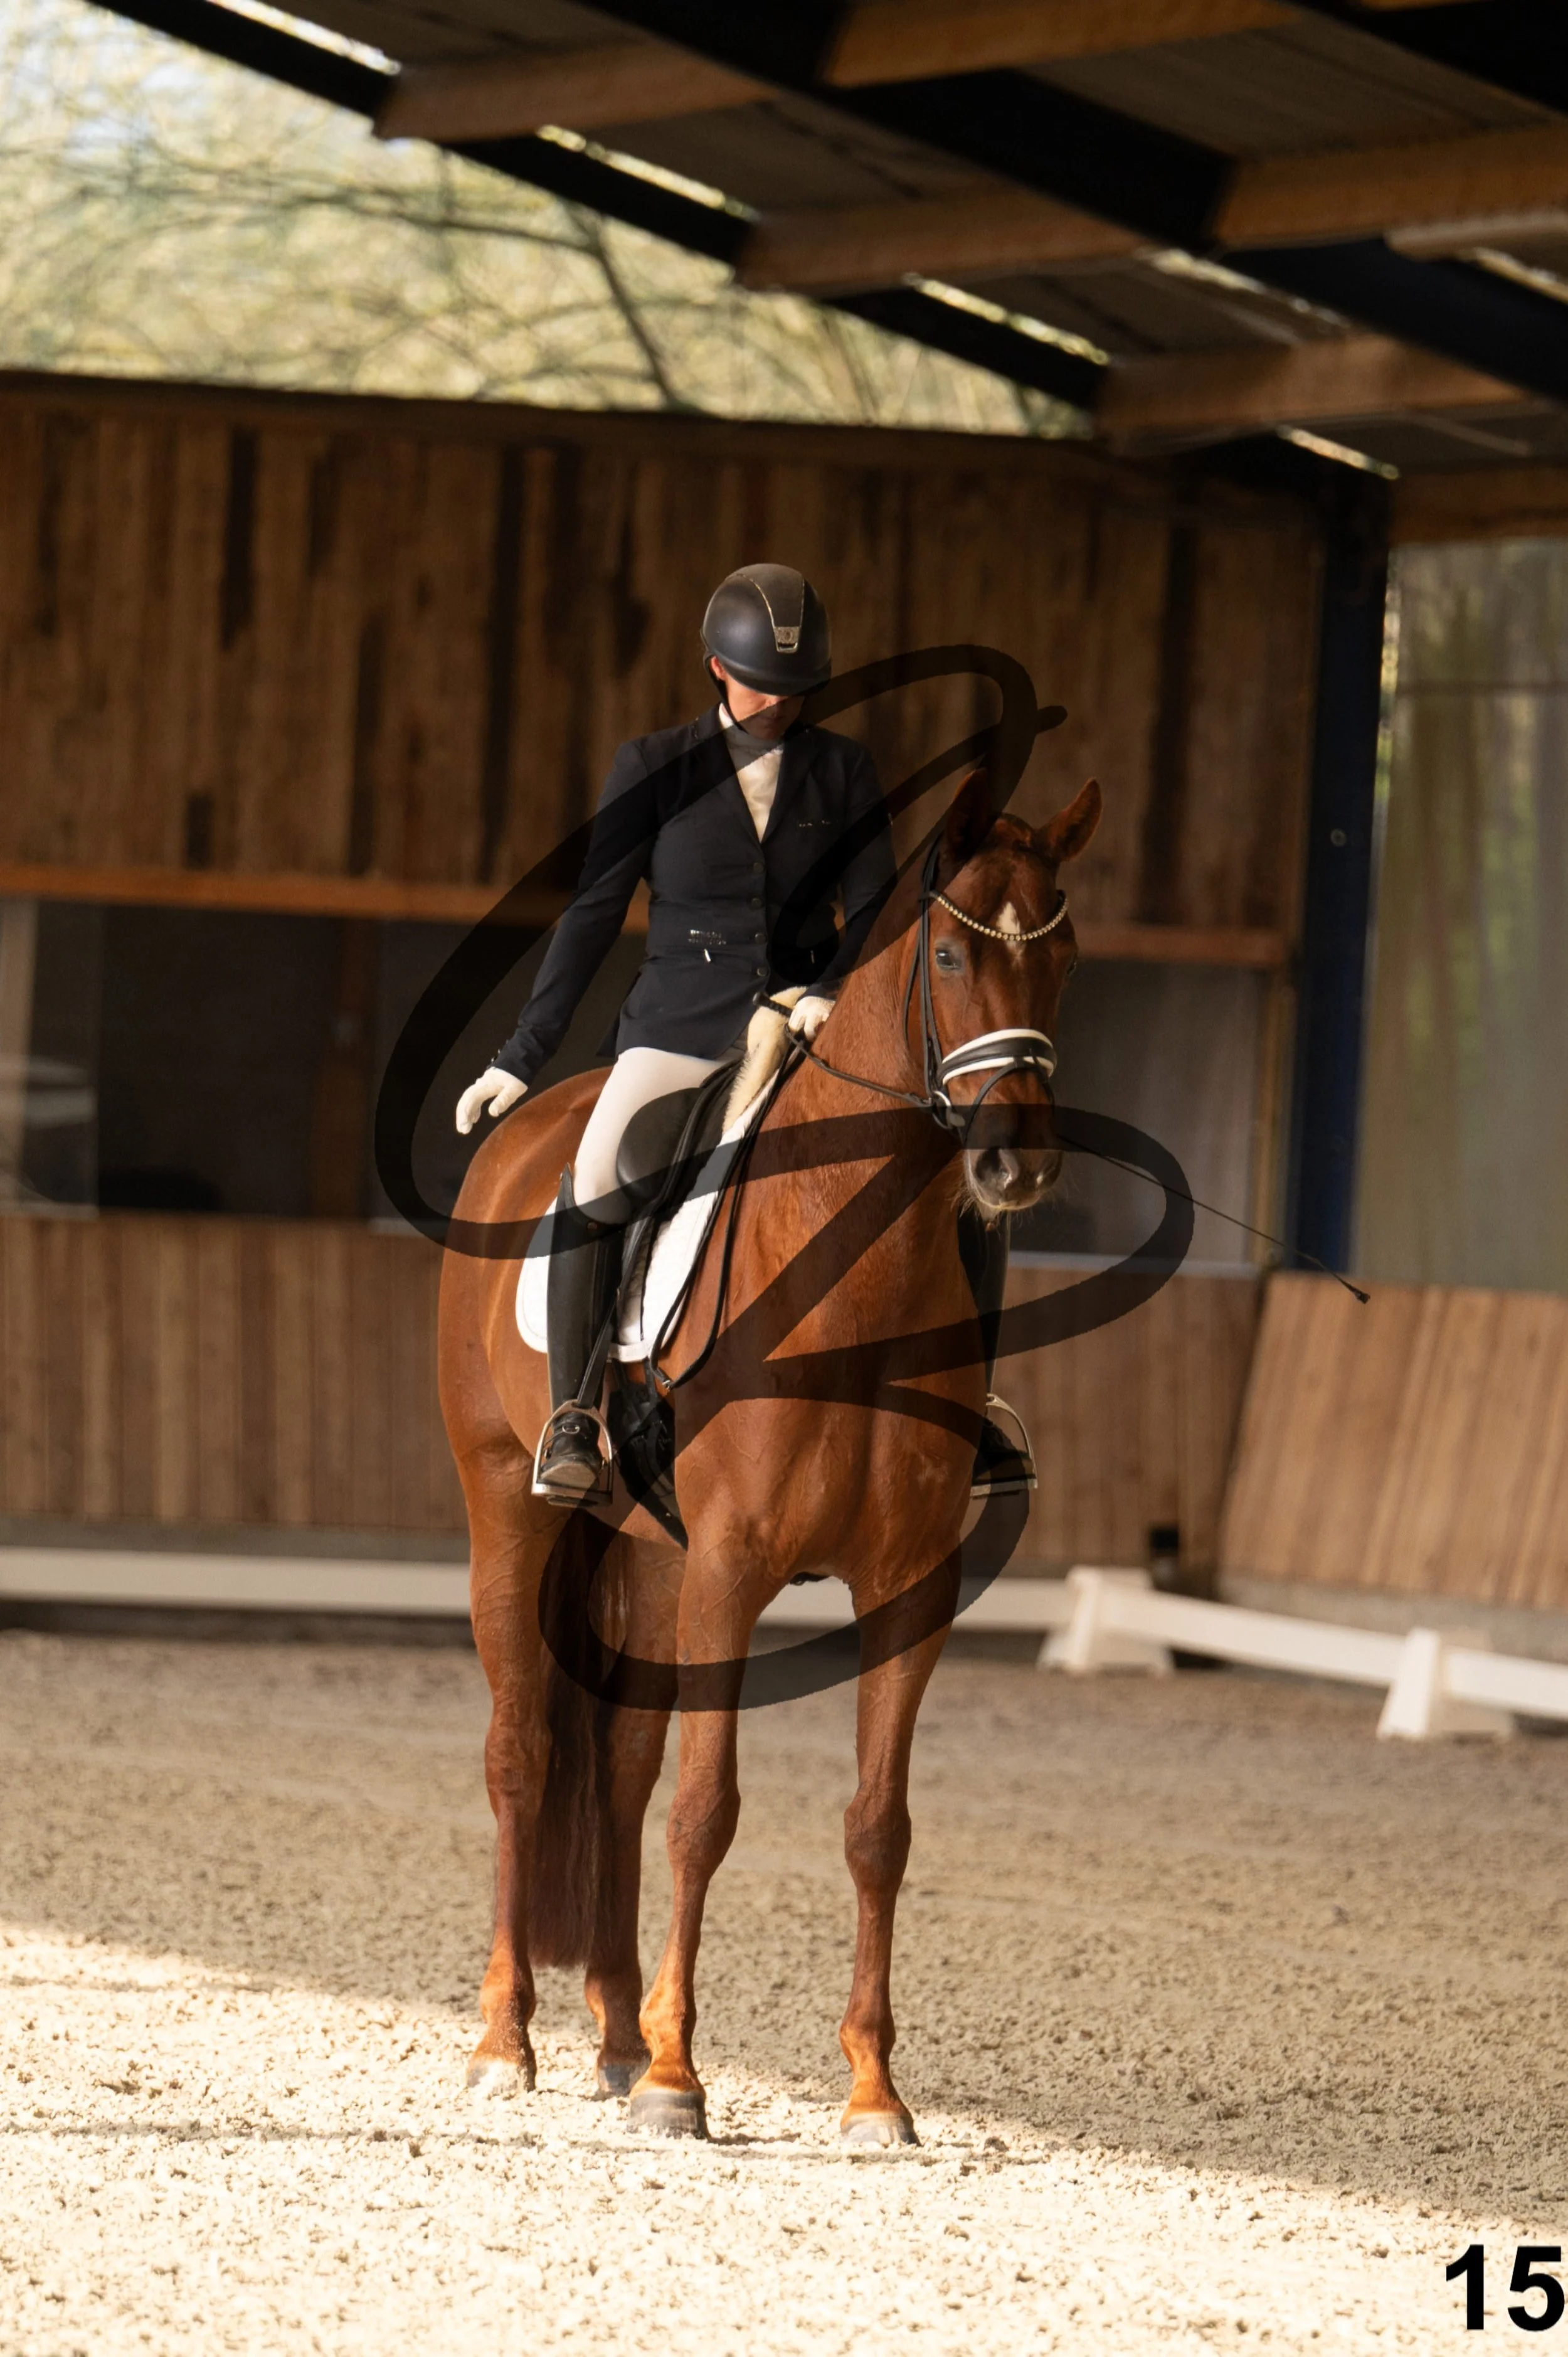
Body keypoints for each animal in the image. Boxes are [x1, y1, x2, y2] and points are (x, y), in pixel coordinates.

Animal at [437, 765, 1102, 2144]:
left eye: (1062, 954)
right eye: (950, 952)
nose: (1014, 1160)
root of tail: (529, 1136)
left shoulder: (902, 1588)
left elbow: (875, 1827)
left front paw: (872, 2091)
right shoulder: (734, 1569)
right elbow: (707, 1813)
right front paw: (681, 2081)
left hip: (646, 1560)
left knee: (618, 1772)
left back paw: (611, 2036)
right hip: (510, 1517)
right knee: (523, 1755)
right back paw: (506, 2040)